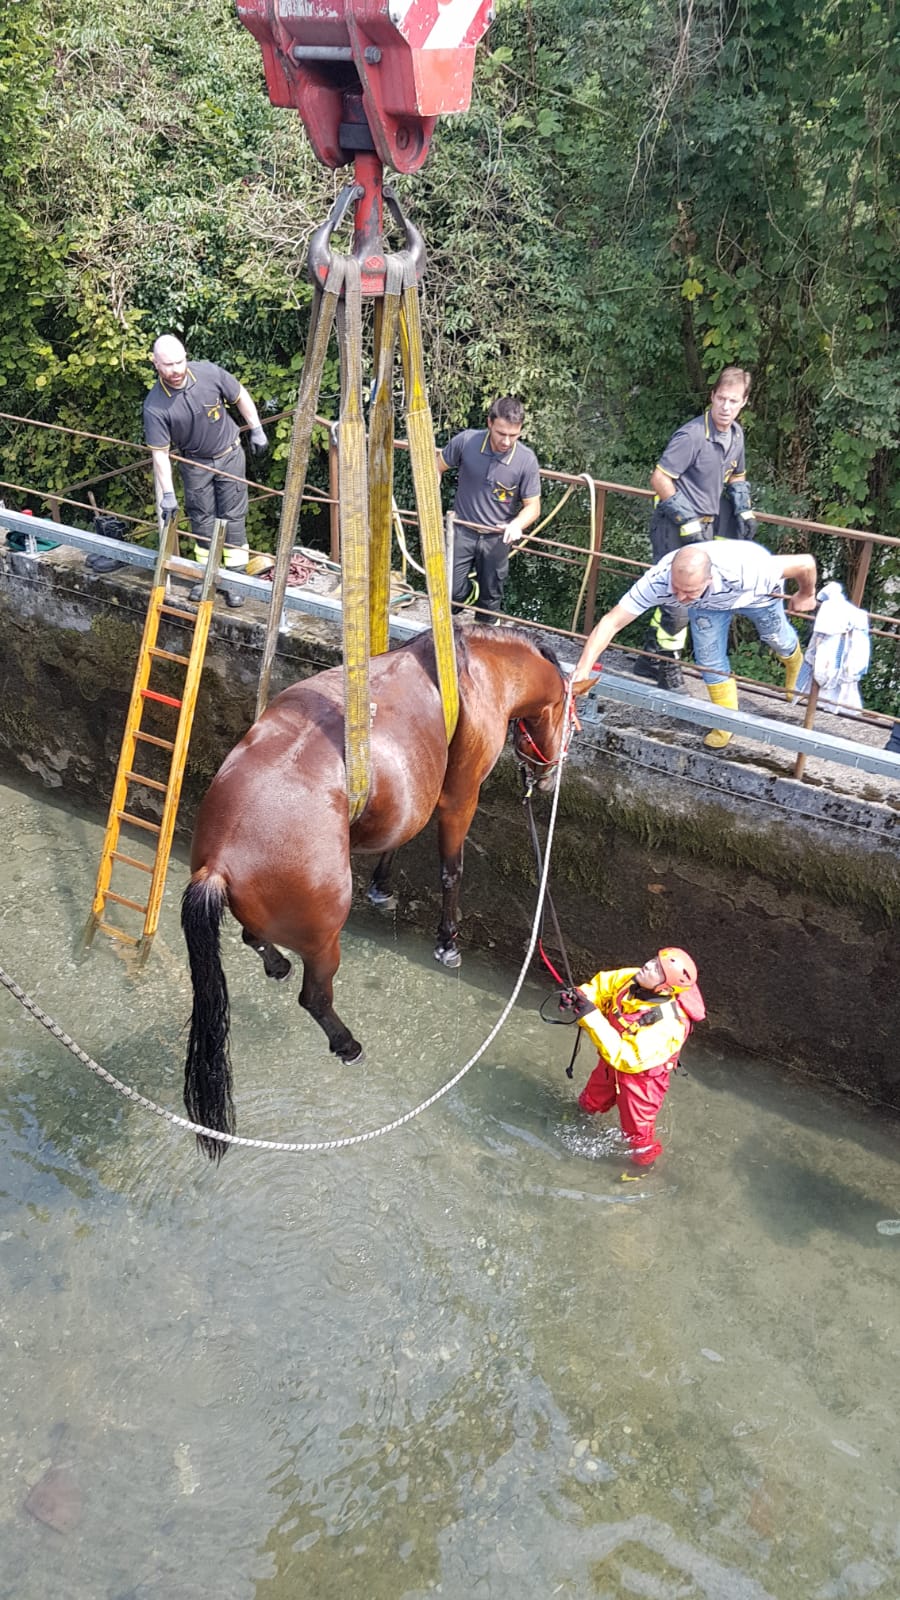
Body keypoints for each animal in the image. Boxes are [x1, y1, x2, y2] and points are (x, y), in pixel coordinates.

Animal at [181, 624, 571, 1158]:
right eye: (569, 719)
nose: (549, 778)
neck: (476, 670)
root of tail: (219, 863)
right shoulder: (460, 798)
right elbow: (451, 870)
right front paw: (448, 941)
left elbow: (400, 836)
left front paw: (383, 887)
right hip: (324, 940)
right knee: (314, 998)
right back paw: (347, 1044)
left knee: (252, 937)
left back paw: (277, 964)